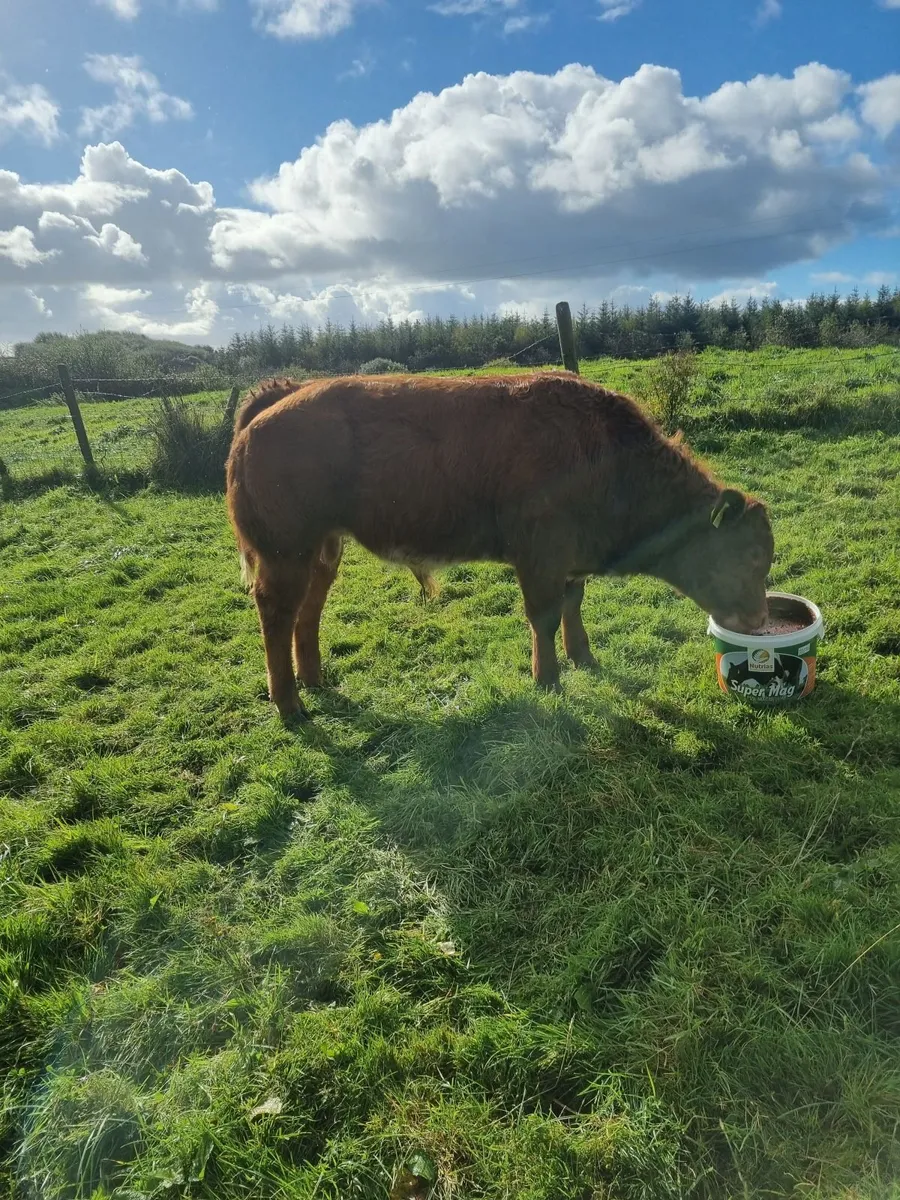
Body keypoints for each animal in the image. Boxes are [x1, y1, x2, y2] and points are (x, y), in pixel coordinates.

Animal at [226, 372, 774, 720]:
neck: (607, 458)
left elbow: (573, 606)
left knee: (307, 612)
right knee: (276, 613)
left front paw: (584, 659)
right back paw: (290, 704)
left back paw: (313, 680)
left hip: (322, 550)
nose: (756, 620)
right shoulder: (539, 557)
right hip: (285, 554)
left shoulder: (569, 561)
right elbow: (544, 617)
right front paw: (548, 679)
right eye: (749, 557)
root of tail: (281, 396)